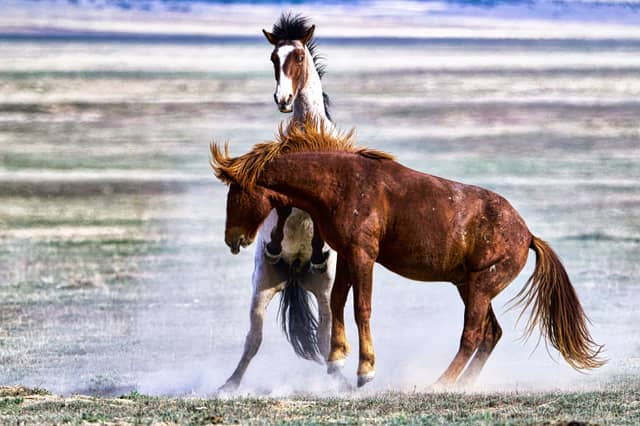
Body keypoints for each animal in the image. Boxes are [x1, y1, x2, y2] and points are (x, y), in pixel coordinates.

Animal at [211, 119, 605, 388]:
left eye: (235, 193)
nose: (233, 239)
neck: (341, 183)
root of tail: (526, 235)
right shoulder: (347, 256)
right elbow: (337, 302)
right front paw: (336, 360)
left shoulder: (363, 256)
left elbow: (361, 307)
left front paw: (366, 370)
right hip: (470, 287)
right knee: (491, 334)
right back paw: (461, 385)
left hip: (480, 288)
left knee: (472, 335)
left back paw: (440, 384)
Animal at [218, 13, 336, 393]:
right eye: (273, 58)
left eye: (297, 56)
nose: (283, 98)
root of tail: (296, 272)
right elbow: (282, 209)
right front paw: (272, 240)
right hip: (263, 285)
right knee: (253, 339)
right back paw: (229, 385)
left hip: (326, 290)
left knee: (327, 336)